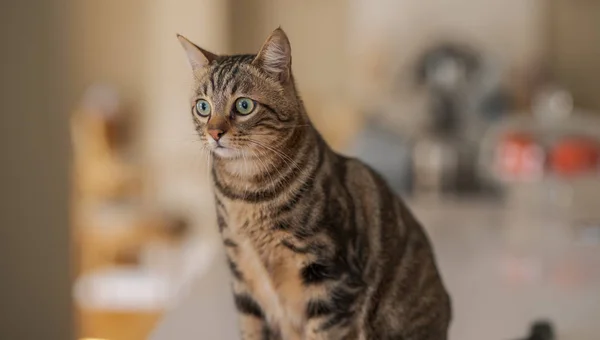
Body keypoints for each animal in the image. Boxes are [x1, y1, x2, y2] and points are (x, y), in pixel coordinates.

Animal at [177, 27, 450, 338]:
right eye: (203, 107)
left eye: (244, 105)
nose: (214, 133)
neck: (247, 194)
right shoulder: (243, 278)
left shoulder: (331, 280)